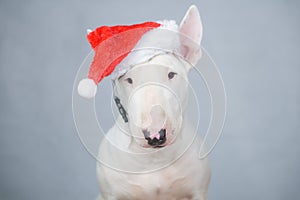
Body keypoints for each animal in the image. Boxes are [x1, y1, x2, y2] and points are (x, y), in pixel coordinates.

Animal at [79, 4, 211, 200]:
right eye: (129, 80)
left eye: (171, 74)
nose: (155, 136)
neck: (154, 160)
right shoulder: (109, 194)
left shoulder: (198, 192)